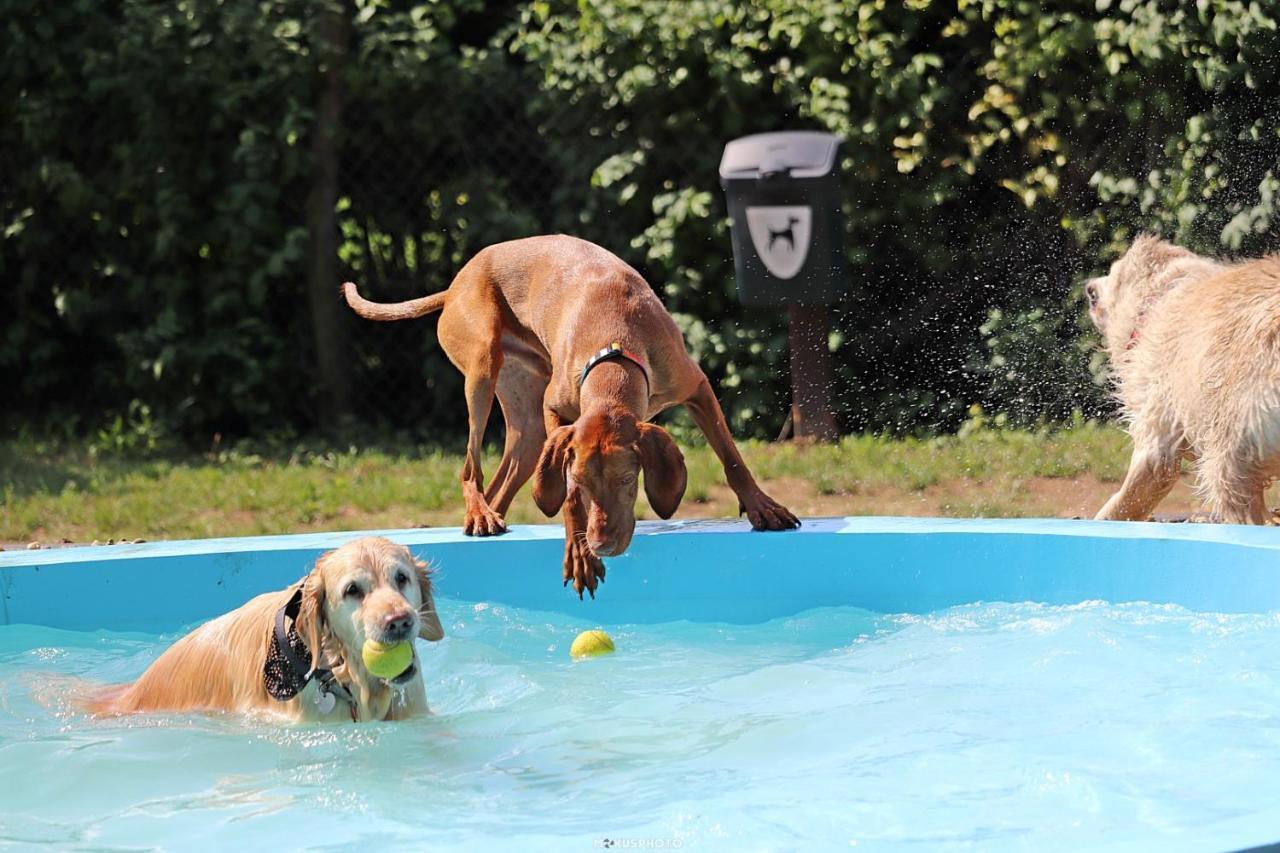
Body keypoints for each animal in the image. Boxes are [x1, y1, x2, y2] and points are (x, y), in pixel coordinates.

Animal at [345, 230, 793, 591]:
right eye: (581, 480)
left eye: (628, 479)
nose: (602, 545)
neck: (615, 346)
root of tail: (456, 282)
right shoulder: (557, 415)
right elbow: (568, 498)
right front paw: (579, 556)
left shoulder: (696, 387)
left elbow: (731, 457)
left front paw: (762, 507)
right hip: (482, 368)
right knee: (470, 468)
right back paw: (479, 511)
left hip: (527, 430)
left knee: (500, 483)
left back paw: (486, 518)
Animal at [1085, 233, 1280, 525]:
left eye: (1113, 271)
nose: (1088, 287)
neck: (1158, 300)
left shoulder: (1158, 409)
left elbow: (1142, 481)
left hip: (1234, 438)